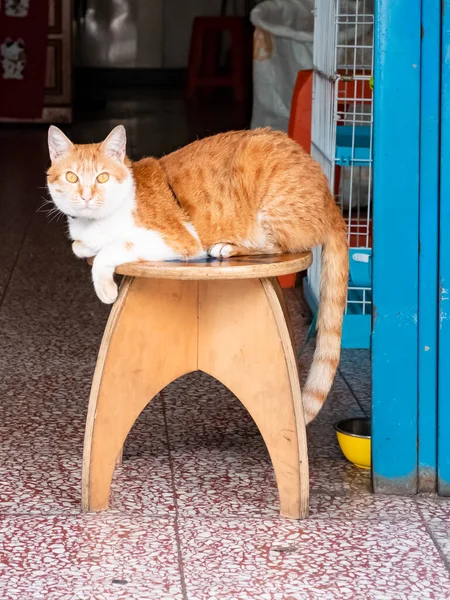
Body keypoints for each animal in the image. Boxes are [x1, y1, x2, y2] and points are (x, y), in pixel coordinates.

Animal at [46, 125, 348, 422]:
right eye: (72, 177)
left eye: (103, 177)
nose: (86, 196)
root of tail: (331, 202)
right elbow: (79, 246)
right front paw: (87, 248)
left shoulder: (175, 241)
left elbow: (110, 250)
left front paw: (106, 288)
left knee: (273, 245)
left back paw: (227, 247)